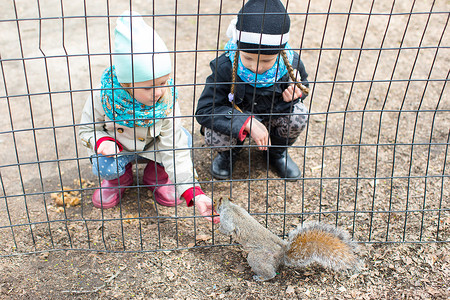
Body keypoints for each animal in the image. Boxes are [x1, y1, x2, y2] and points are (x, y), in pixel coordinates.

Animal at [214, 197, 358, 282]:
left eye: (215, 202)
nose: (213, 205)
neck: (230, 206)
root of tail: (282, 253)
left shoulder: (227, 218)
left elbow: (227, 229)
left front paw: (216, 229)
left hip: (257, 258)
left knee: (270, 273)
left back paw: (261, 277)